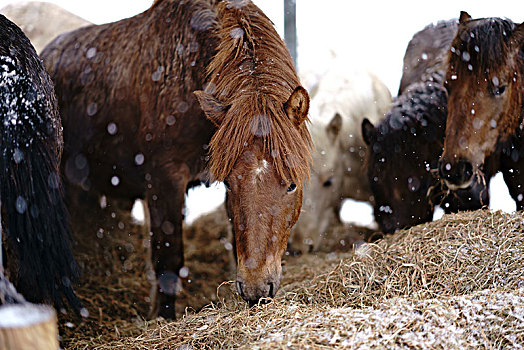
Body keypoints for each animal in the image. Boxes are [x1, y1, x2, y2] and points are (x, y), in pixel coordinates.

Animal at [42, 0, 312, 318]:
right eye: (229, 183)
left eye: (292, 185)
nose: (256, 290)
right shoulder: (165, 181)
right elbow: (168, 260)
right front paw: (163, 317)